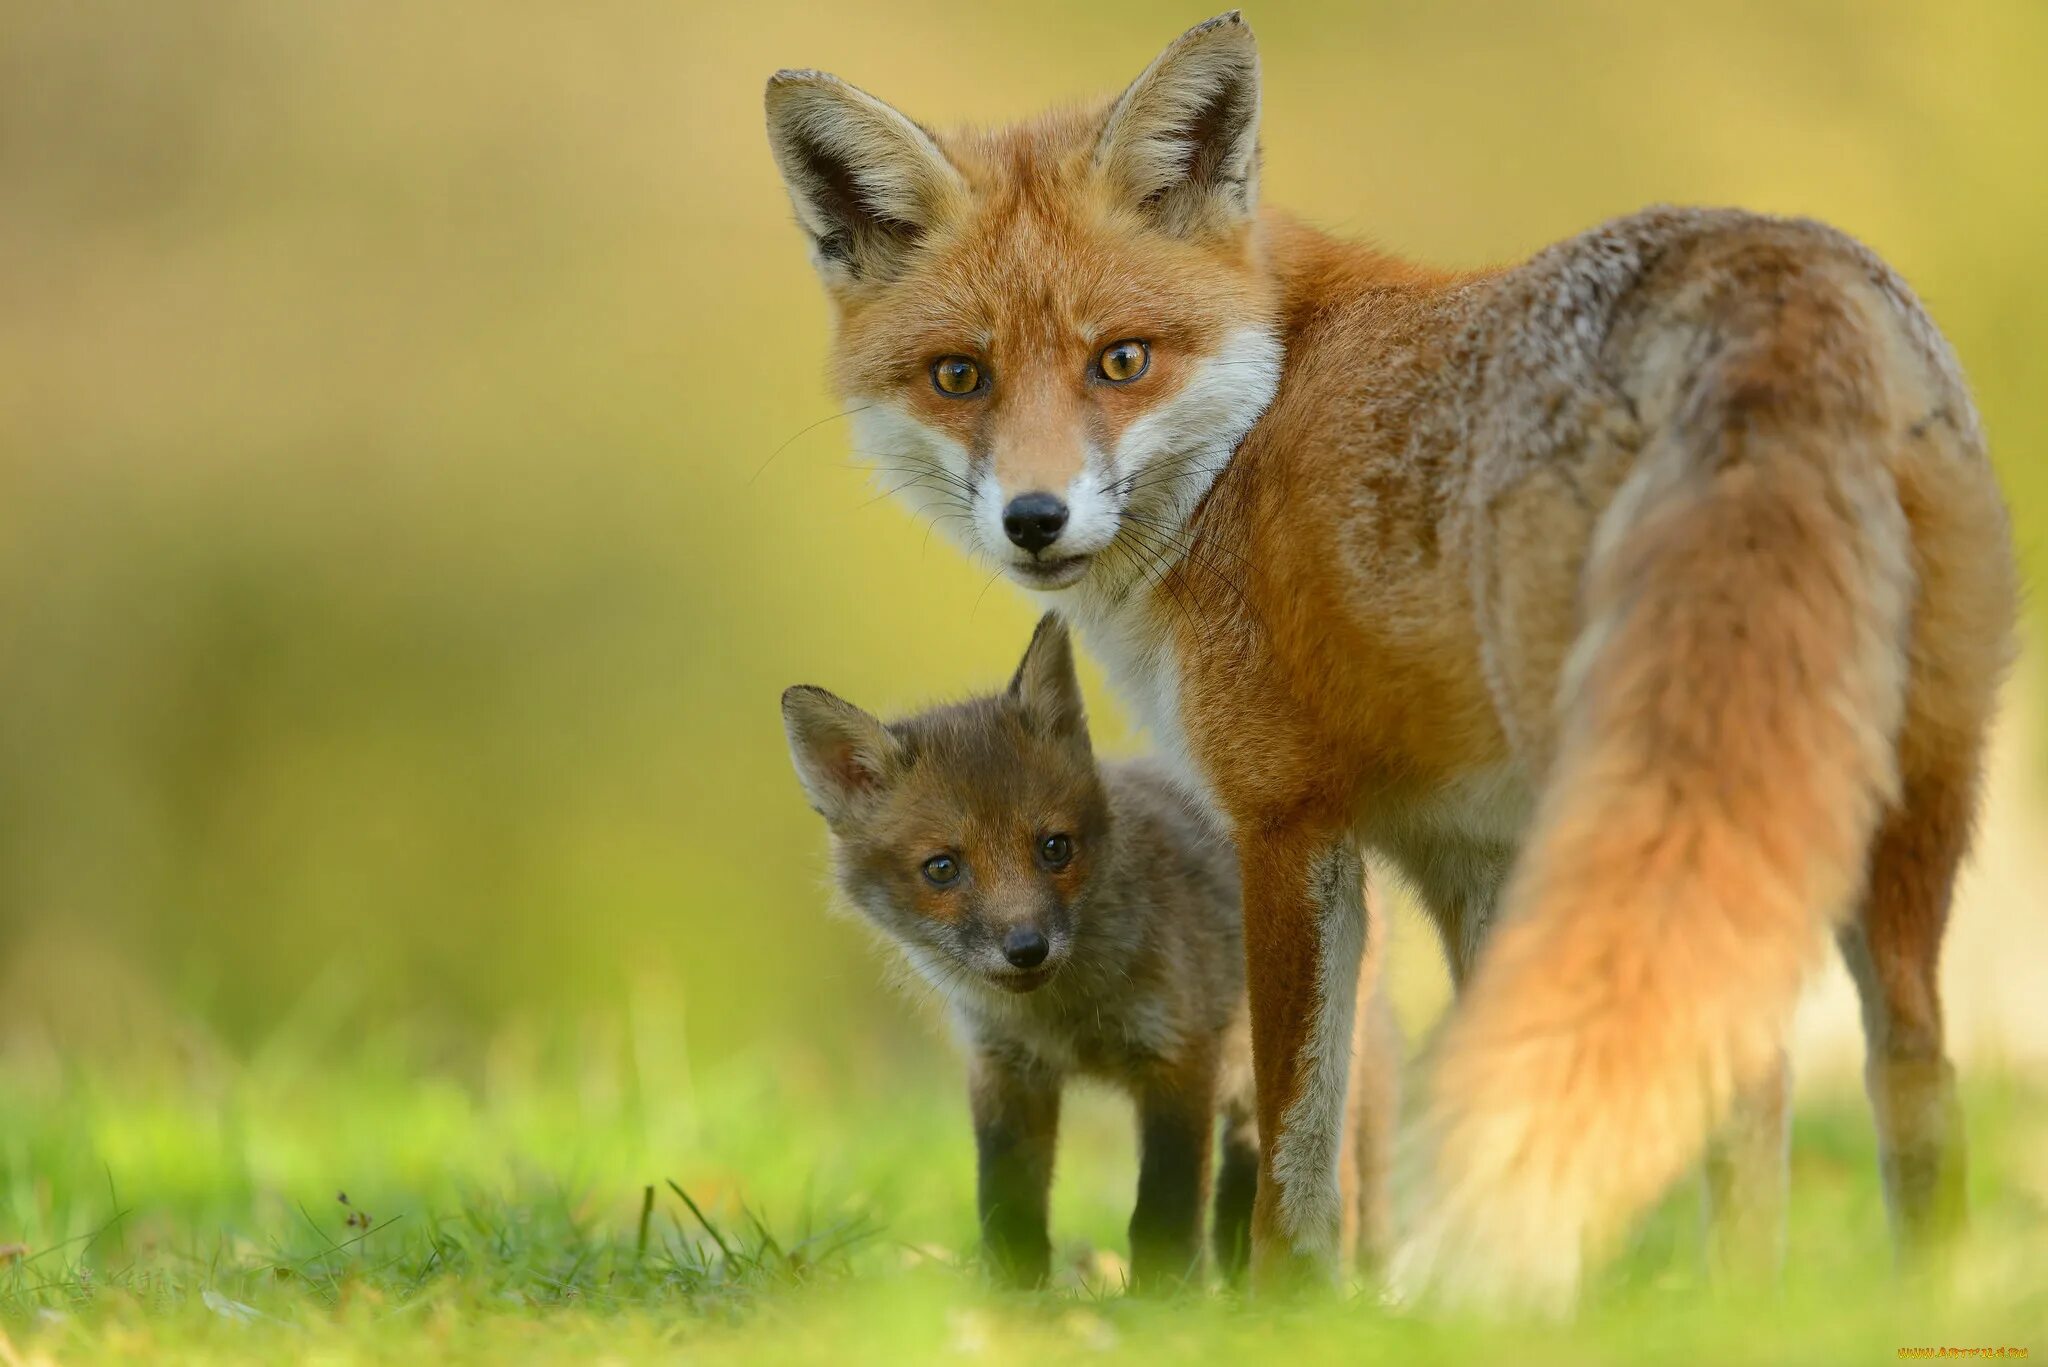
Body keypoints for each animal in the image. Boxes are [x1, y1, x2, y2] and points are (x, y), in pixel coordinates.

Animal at [761, 13, 2007, 1311]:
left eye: (1122, 360)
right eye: (959, 375)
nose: (1035, 519)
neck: (1249, 430)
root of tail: (1771, 275)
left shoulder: (1285, 818)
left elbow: (1297, 1120)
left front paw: (1284, 1305)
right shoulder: (1466, 852)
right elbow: (1485, 1081)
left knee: (1741, 1056)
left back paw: (1732, 1306)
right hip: (1902, 791)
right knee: (1911, 1066)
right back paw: (1888, 1299)